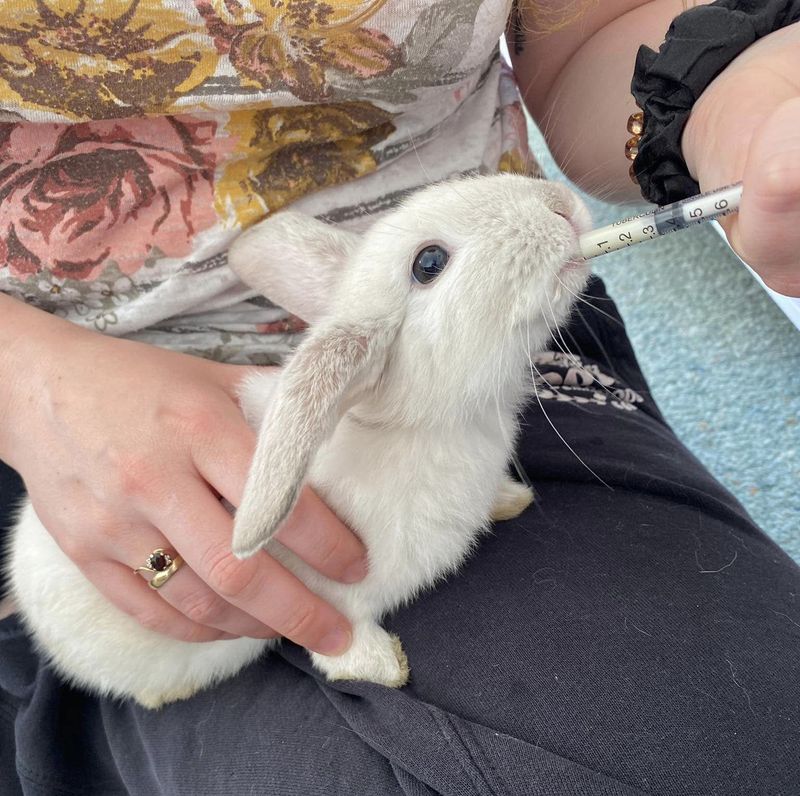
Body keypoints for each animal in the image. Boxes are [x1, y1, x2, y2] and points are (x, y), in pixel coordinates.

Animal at [6, 173, 591, 708]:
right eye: (429, 263)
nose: (560, 203)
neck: (423, 424)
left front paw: (511, 499)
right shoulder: (336, 596)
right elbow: (344, 633)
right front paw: (381, 667)